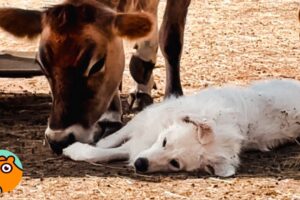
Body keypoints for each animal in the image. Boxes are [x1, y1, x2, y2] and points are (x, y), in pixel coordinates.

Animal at [0, 0, 191, 155]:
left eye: (97, 65)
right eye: (41, 64)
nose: (59, 139)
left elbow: (171, 39)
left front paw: (174, 96)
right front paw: (110, 116)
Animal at [62, 79, 300, 177]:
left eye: (175, 163)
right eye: (165, 141)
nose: (140, 165)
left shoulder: (140, 145)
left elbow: (102, 154)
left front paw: (75, 150)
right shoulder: (148, 119)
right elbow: (114, 139)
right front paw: (101, 140)